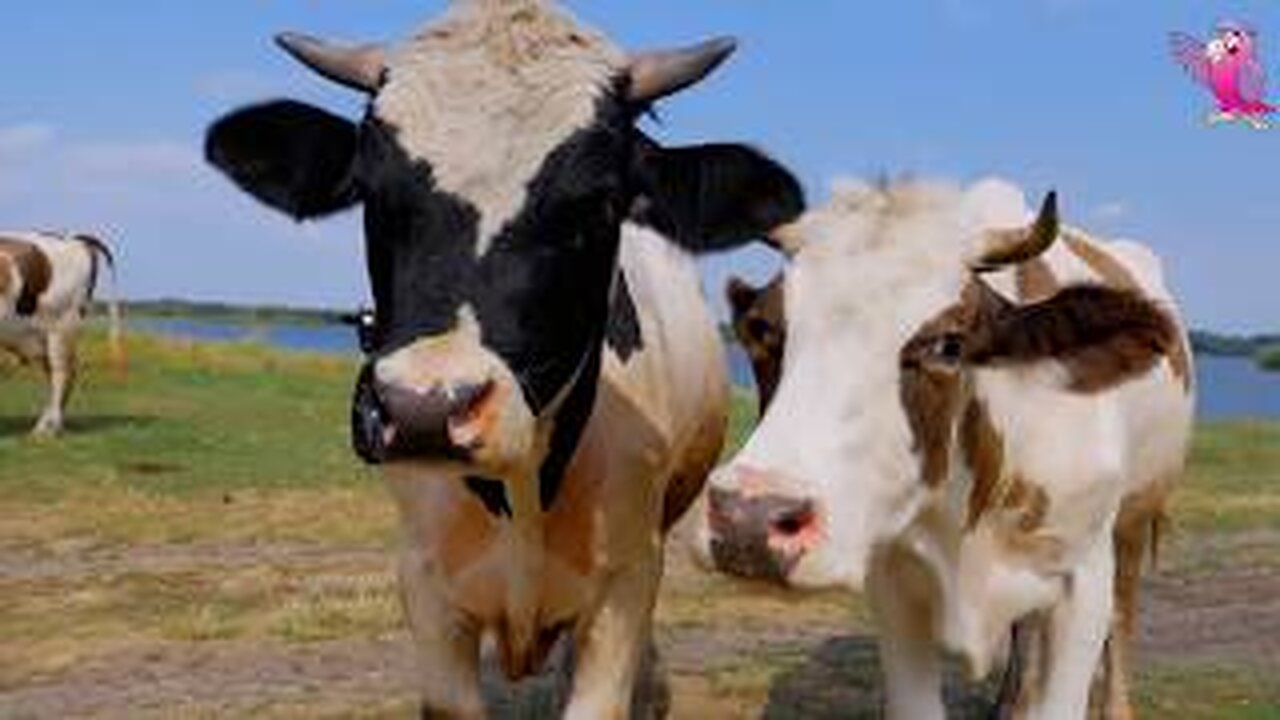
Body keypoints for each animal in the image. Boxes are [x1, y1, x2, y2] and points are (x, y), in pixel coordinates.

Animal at [0, 229, 122, 435]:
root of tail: (75, 239)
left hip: (61, 325)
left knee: (62, 372)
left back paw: (51, 428)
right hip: (43, 335)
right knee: (58, 372)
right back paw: (46, 424)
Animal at [204, 2, 803, 712]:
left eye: (599, 200)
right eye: (370, 190)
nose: (425, 408)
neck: (520, 489)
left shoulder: (625, 583)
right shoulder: (425, 587)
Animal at [701, 175, 1187, 717]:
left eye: (949, 345)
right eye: (765, 329)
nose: (748, 518)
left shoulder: (1083, 581)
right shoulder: (891, 580)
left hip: (1135, 518)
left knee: (1122, 619)